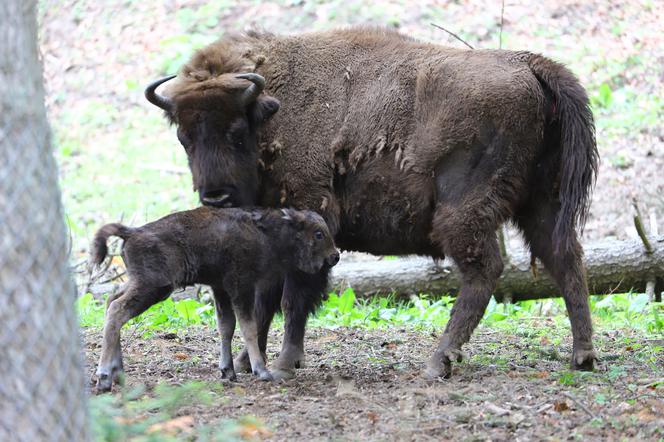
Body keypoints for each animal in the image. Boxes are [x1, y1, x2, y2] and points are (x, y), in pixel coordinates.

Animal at [90, 205, 338, 392]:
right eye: (318, 233)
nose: (335, 256)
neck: (267, 233)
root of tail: (132, 232)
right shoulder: (241, 288)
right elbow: (249, 328)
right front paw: (262, 371)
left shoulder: (220, 289)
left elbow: (226, 327)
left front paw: (228, 371)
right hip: (153, 288)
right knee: (116, 311)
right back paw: (104, 377)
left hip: (138, 283)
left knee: (110, 302)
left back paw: (117, 374)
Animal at [144, 26, 596, 380]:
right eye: (184, 135)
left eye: (236, 131)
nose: (215, 197)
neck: (271, 107)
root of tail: (530, 65)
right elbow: (265, 302)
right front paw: (247, 360)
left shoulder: (311, 216)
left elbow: (294, 296)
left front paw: (287, 363)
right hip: (543, 203)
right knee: (565, 259)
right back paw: (583, 356)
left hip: (464, 212)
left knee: (484, 270)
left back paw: (438, 362)